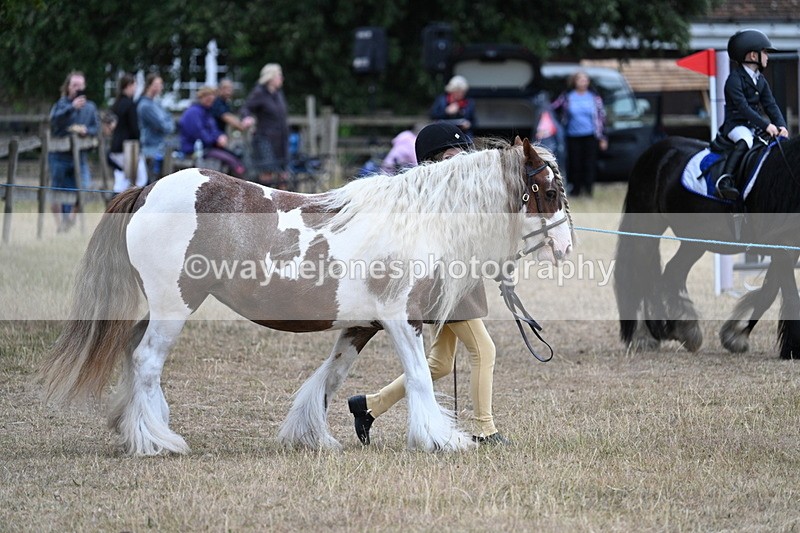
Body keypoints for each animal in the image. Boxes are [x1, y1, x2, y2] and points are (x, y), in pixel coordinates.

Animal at [40, 138, 573, 456]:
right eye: (546, 191)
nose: (567, 248)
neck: (417, 222)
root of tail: (149, 189)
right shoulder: (402, 321)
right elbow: (420, 379)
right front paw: (440, 438)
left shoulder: (361, 326)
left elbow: (330, 378)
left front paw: (314, 436)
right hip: (174, 307)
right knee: (147, 361)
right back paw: (159, 440)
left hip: (159, 308)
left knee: (133, 352)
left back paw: (136, 427)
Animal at [614, 135, 800, 358]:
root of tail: (654, 151)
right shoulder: (784, 248)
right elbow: (788, 293)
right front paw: (793, 347)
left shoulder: (787, 250)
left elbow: (768, 292)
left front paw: (736, 336)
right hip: (647, 228)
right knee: (640, 276)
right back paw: (644, 336)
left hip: (695, 240)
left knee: (672, 273)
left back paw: (682, 327)